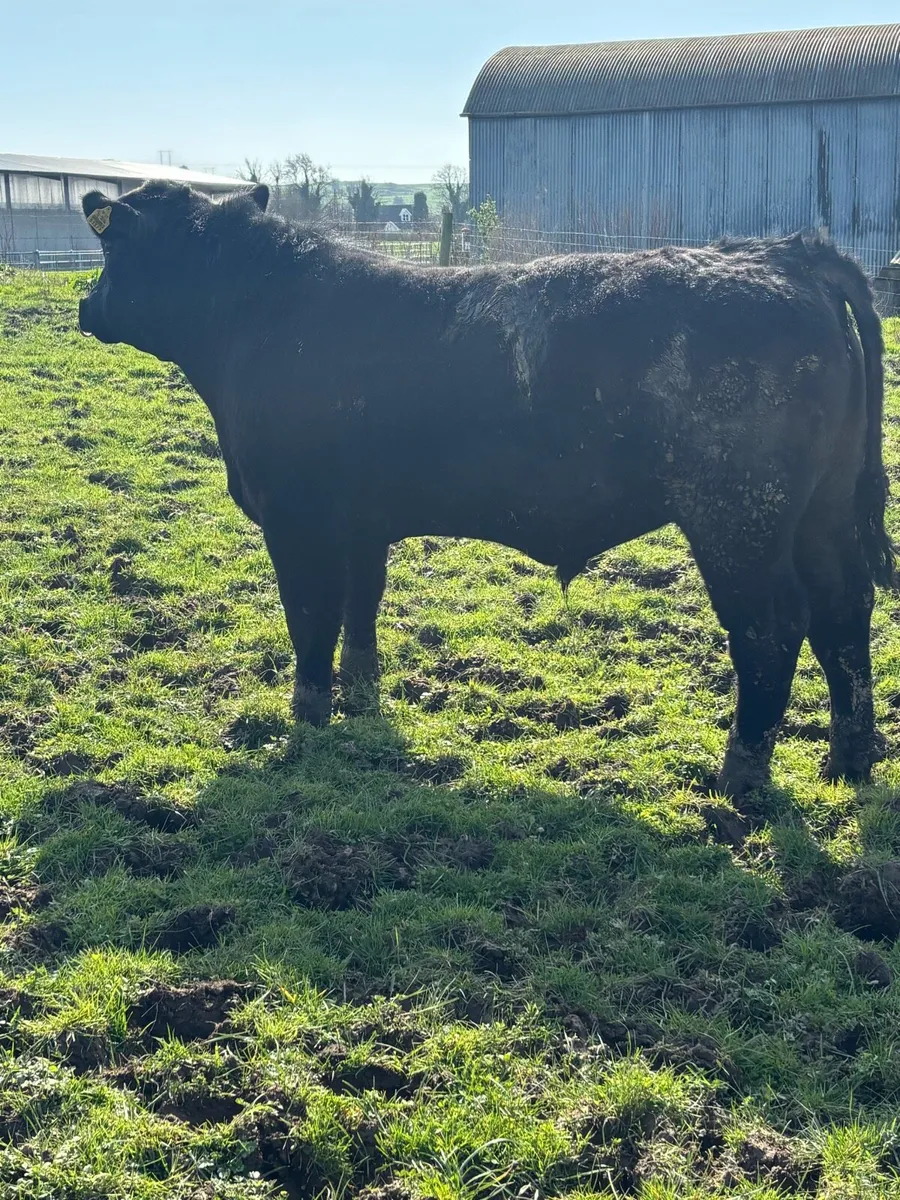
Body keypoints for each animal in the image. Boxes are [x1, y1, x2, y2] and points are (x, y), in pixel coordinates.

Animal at [78, 181, 894, 799]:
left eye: (111, 244)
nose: (86, 307)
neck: (256, 314)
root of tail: (782, 252)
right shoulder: (359, 522)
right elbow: (360, 610)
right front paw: (362, 701)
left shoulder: (297, 518)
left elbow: (310, 620)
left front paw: (305, 723)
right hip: (821, 513)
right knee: (843, 615)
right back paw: (848, 760)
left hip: (737, 517)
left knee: (773, 628)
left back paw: (740, 781)